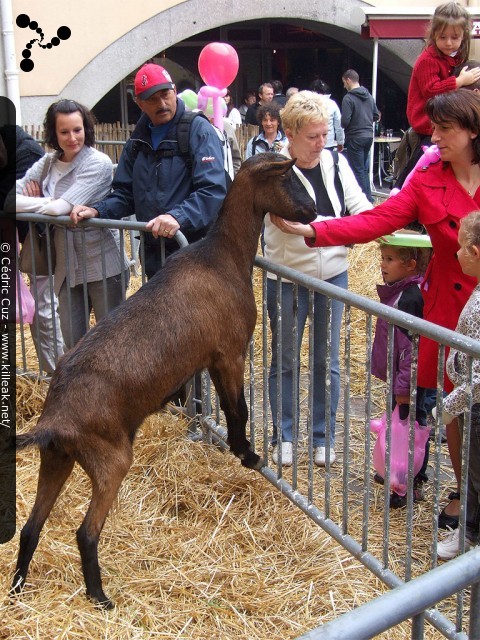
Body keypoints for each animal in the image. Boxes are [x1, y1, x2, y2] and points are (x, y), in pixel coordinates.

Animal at [10, 152, 316, 608]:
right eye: (288, 176)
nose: (312, 212)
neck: (222, 256)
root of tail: (53, 420)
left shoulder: (210, 359)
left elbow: (226, 406)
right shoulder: (230, 351)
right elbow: (238, 408)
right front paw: (248, 454)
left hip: (57, 458)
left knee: (31, 528)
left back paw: (16, 591)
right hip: (110, 460)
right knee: (85, 533)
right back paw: (100, 597)